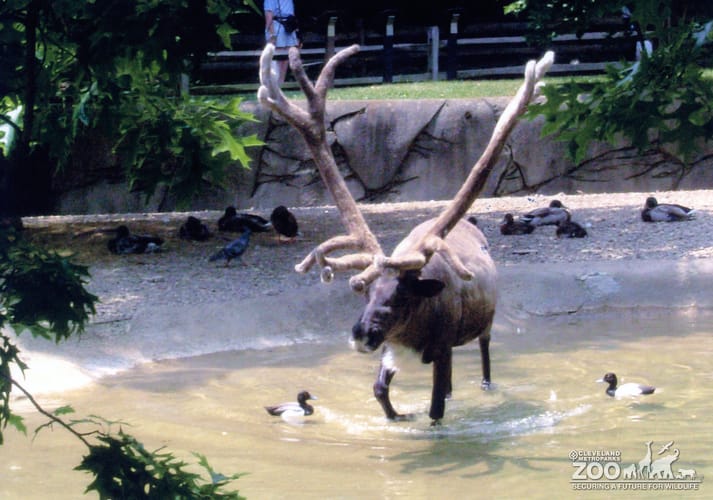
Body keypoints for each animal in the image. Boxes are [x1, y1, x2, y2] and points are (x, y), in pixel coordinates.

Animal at [258, 43, 554, 424]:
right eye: (364, 292)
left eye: (402, 296)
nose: (361, 333)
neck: (412, 336)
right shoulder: (392, 346)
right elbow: (380, 392)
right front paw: (399, 417)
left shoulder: (440, 346)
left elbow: (436, 407)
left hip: (486, 323)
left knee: (486, 358)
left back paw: (488, 387)